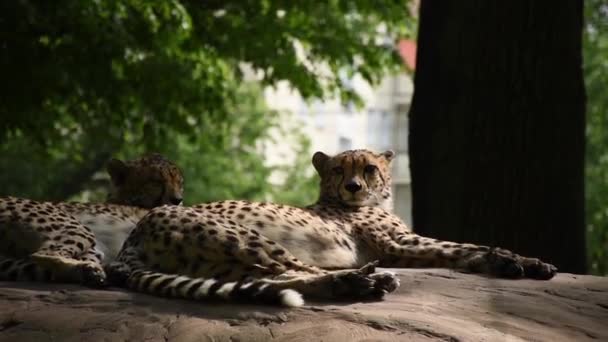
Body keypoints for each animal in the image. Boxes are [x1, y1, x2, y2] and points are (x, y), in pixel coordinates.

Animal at [108, 150, 556, 308]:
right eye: (339, 169)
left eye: (369, 168)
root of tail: (133, 235)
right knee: (291, 272)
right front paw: (508, 261)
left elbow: (467, 246)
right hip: (243, 237)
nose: (353, 186)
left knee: (271, 279)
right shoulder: (399, 245)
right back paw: (362, 282)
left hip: (223, 260)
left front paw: (530, 262)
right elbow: (464, 247)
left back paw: (355, 282)